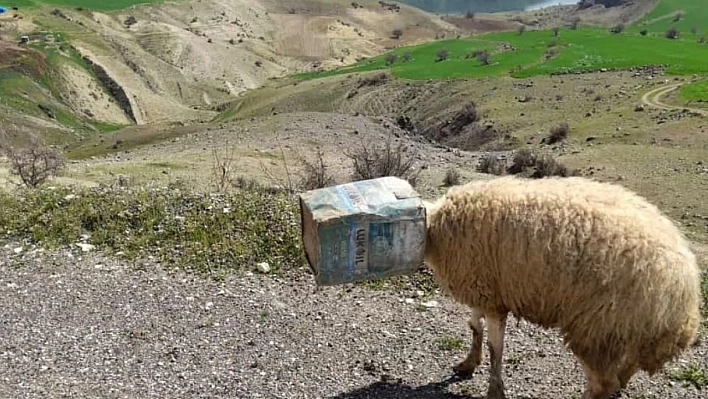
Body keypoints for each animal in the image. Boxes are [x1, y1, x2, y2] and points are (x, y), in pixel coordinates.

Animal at [424, 177, 700, 399]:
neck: (434, 227)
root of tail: (685, 287)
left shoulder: (491, 298)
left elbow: (496, 349)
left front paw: (494, 389)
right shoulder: (484, 289)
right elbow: (474, 326)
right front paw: (468, 363)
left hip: (596, 327)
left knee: (602, 383)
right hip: (629, 330)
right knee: (627, 367)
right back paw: (622, 381)